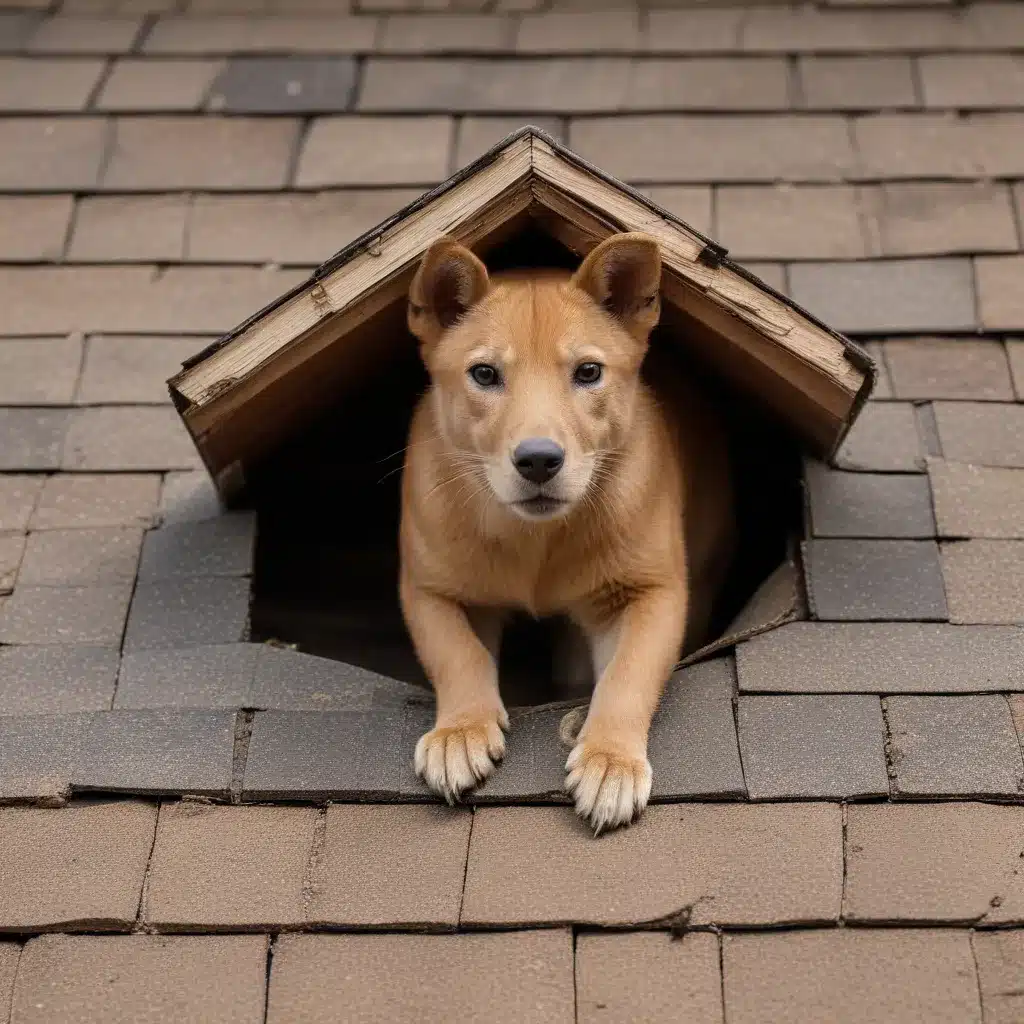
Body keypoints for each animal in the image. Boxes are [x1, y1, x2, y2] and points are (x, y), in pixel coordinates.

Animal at [399, 232, 737, 831]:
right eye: (484, 374)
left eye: (588, 372)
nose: (538, 461)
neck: (538, 541)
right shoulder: (427, 587)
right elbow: (457, 652)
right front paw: (459, 733)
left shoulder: (652, 591)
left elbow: (627, 676)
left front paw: (609, 763)